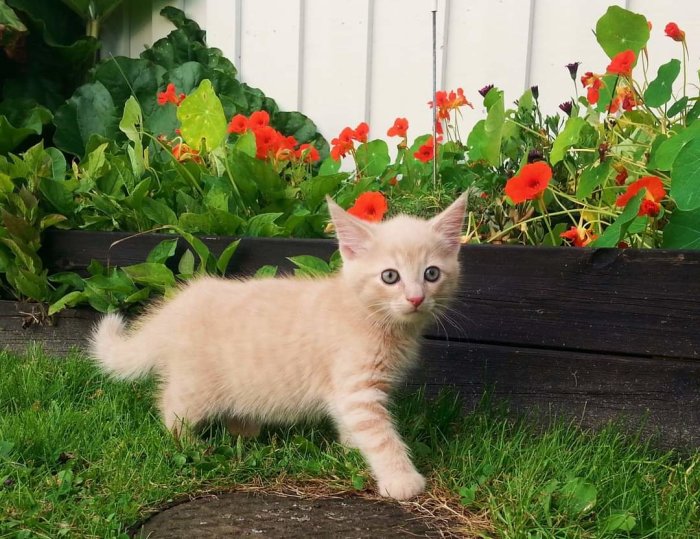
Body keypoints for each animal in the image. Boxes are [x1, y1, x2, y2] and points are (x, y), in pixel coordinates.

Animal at [90, 195, 468, 502]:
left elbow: (351, 424)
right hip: (197, 385)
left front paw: (350, 451)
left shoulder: (345, 392)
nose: (416, 298)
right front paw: (401, 480)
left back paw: (245, 431)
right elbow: (380, 435)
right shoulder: (356, 388)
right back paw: (189, 443)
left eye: (431, 273)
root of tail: (176, 307)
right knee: (171, 405)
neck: (366, 314)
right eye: (390, 276)